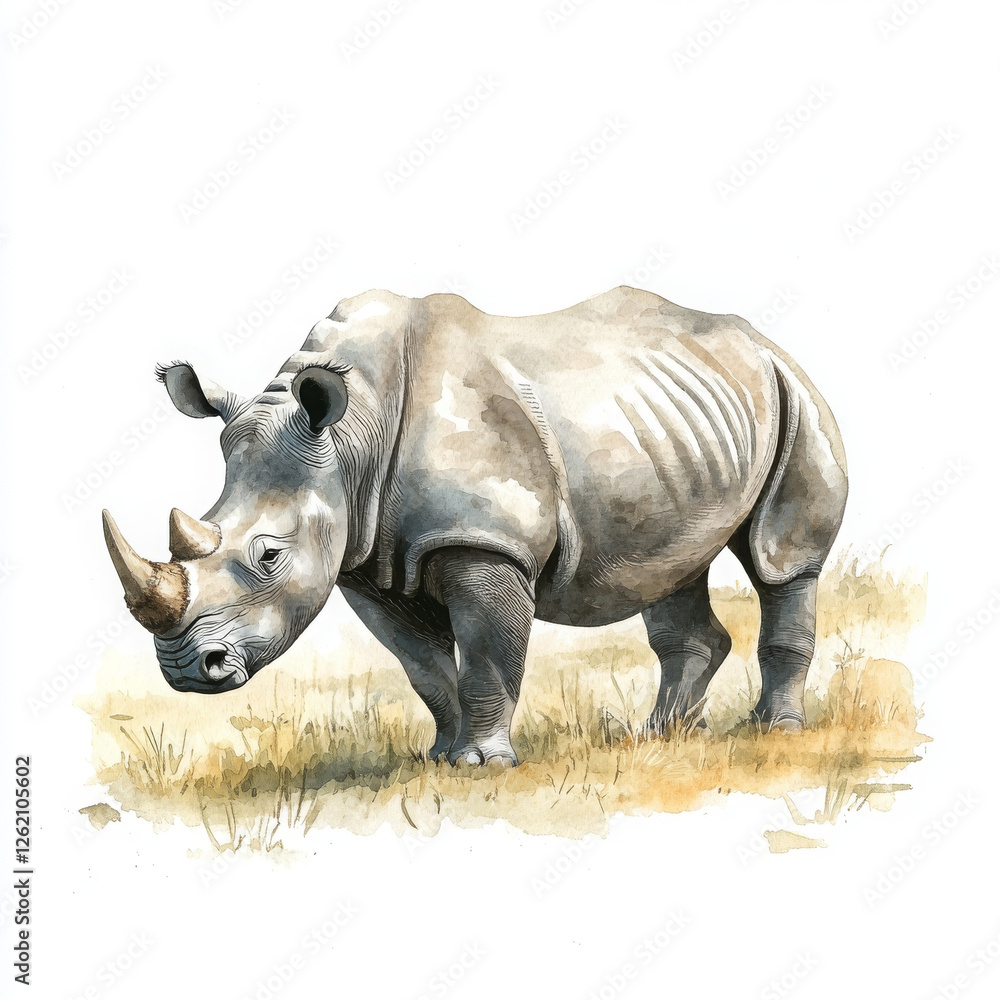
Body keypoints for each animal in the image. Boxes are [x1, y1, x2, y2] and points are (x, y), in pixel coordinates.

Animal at [103, 286, 848, 764]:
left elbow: (488, 655)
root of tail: (758, 339)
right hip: (675, 429)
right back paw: (658, 738)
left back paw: (773, 731)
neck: (349, 438)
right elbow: (425, 668)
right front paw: (439, 756)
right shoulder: (364, 561)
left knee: (782, 562)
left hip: (795, 393)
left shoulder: (486, 542)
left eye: (269, 558)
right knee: (670, 566)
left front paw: (483, 764)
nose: (186, 669)